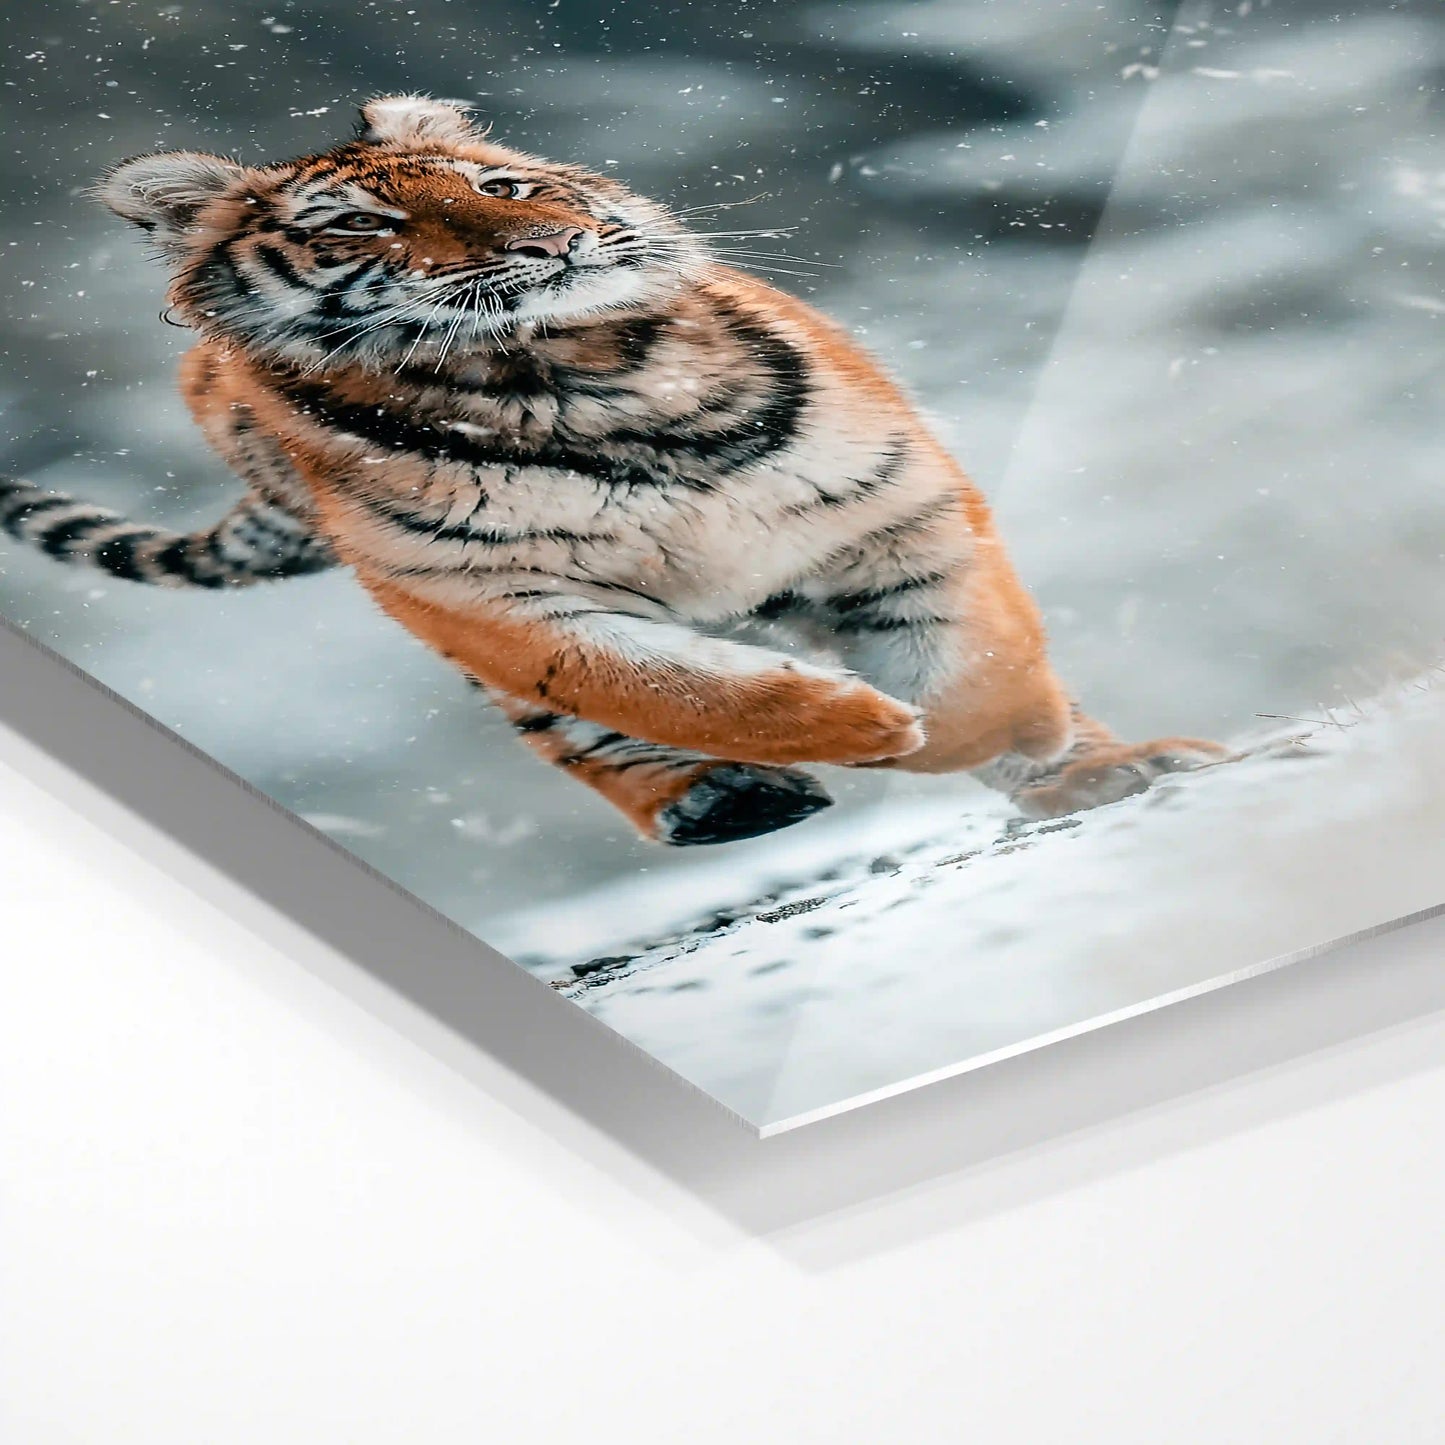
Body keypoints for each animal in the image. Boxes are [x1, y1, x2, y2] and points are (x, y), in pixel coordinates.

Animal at [0, 95, 1226, 846]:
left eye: (497, 187)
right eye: (360, 226)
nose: (549, 246)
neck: (563, 374)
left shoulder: (888, 507)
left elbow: (975, 664)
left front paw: (1024, 751)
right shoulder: (494, 602)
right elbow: (672, 686)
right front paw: (871, 730)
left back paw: (1127, 763)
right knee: (568, 728)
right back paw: (716, 799)